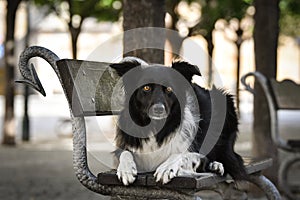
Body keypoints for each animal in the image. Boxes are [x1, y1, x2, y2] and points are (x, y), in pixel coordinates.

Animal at [110, 58, 246, 186]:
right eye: (146, 87)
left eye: (169, 89)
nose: (159, 109)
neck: (157, 128)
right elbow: (125, 153)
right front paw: (126, 169)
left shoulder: (199, 154)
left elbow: (181, 154)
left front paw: (166, 168)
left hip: (225, 102)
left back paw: (217, 165)